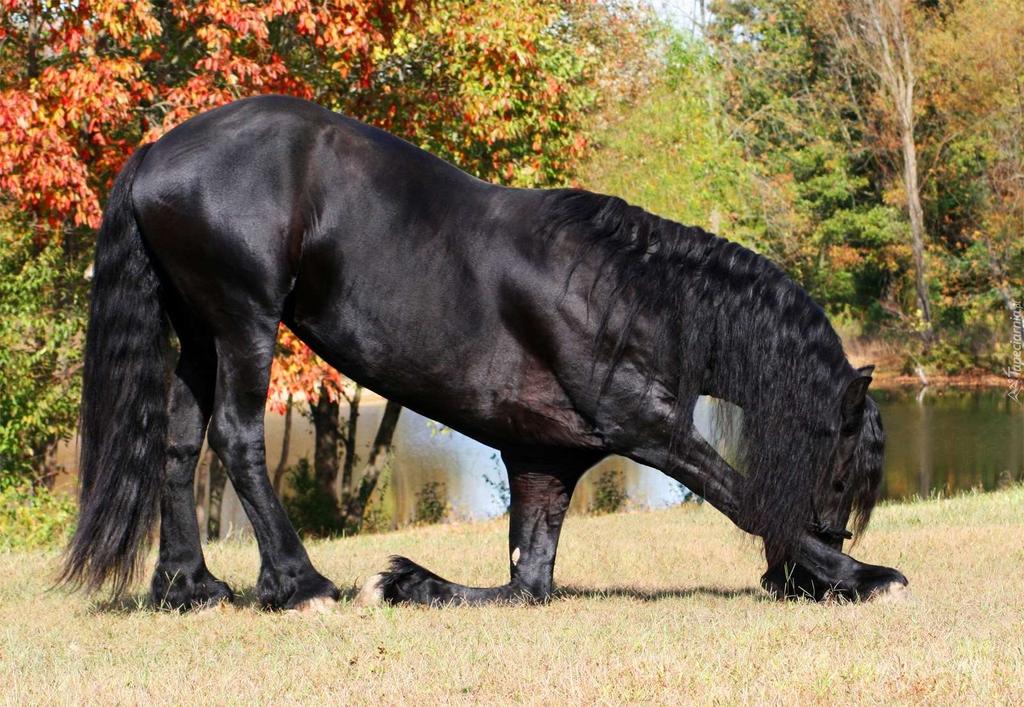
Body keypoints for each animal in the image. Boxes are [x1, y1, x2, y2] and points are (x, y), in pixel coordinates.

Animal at [61, 93, 905, 606]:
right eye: (841, 469)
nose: (794, 581)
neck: (624, 290)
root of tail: (157, 153)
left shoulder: (545, 462)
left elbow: (527, 579)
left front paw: (411, 581)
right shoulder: (648, 427)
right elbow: (739, 493)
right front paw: (864, 572)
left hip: (198, 330)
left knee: (177, 444)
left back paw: (189, 584)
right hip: (244, 320)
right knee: (238, 439)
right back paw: (299, 582)